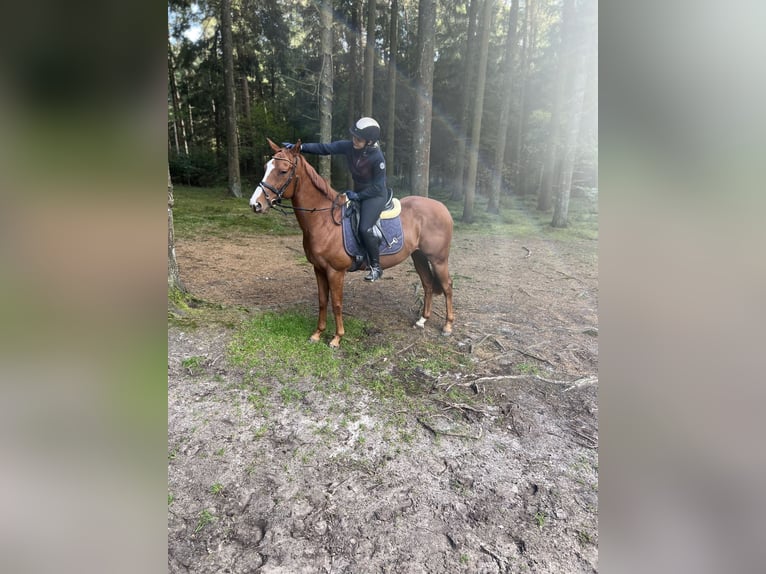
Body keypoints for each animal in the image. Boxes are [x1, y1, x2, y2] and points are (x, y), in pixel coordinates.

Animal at [252, 138, 456, 352]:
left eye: (283, 171)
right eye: (266, 167)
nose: (256, 204)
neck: (324, 220)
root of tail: (442, 207)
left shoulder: (335, 271)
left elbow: (337, 304)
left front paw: (336, 338)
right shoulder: (319, 269)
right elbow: (322, 301)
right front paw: (317, 334)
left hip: (438, 259)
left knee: (447, 286)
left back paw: (447, 326)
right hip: (419, 256)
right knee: (428, 284)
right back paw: (422, 320)